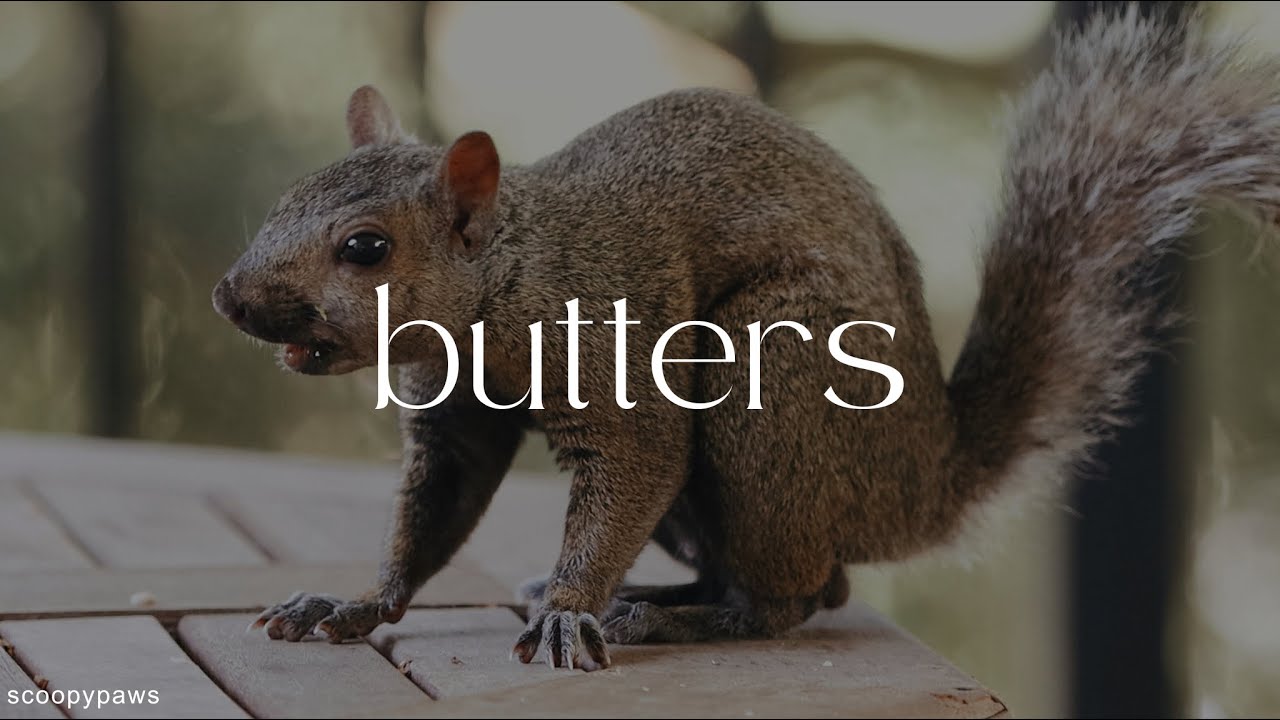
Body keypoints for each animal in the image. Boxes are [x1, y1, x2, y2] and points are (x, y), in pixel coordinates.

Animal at [213, 7, 1280, 671]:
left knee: (792, 600)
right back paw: (652, 597)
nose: (230, 298)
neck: (507, 288)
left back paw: (659, 619)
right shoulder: (458, 421)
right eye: (282, 201)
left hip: (772, 378)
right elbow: (429, 518)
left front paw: (569, 612)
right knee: (792, 577)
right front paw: (352, 605)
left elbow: (631, 465)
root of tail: (925, 482)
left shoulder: (616, 361)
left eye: (366, 248)